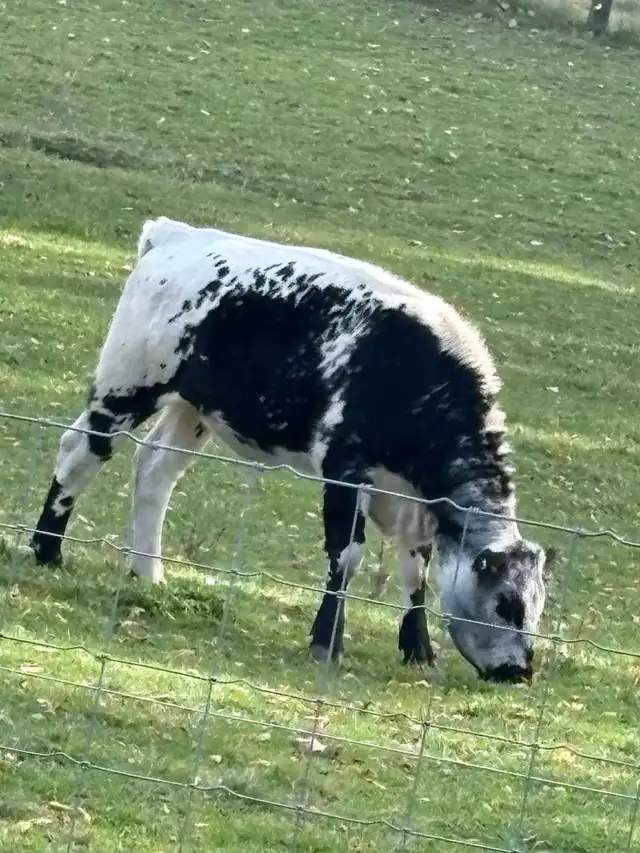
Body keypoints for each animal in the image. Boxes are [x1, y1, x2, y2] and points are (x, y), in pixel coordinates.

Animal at [30, 216, 557, 683]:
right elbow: (347, 556)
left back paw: (148, 573)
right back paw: (47, 550)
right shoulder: (345, 468)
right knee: (80, 453)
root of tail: (174, 235)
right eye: (506, 605)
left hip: (192, 410)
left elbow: (415, 570)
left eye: (537, 608)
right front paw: (328, 642)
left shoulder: (412, 503)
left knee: (155, 472)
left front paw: (418, 651)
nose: (520, 672)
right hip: (126, 385)